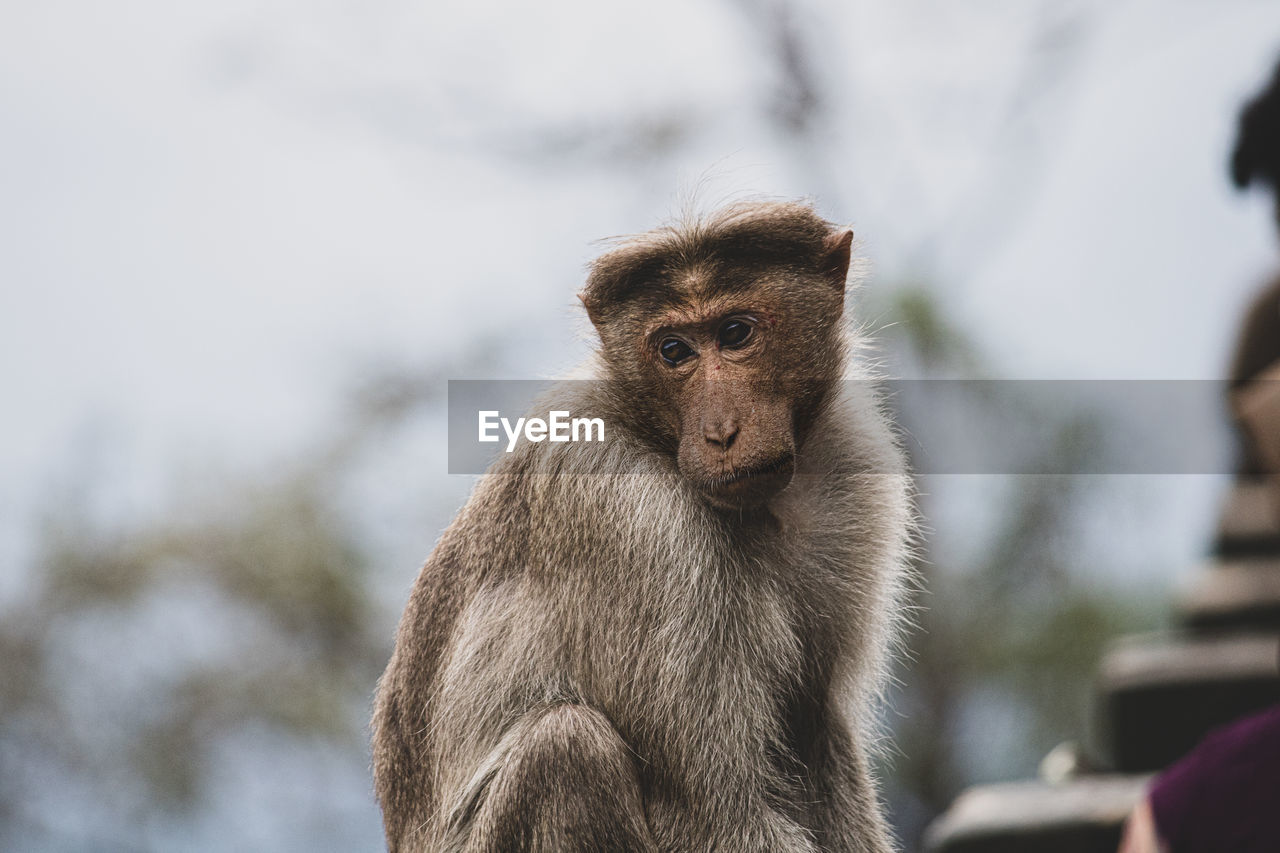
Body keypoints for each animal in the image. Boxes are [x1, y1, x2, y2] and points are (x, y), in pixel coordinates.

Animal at [373, 201, 916, 850]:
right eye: (674, 351)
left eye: (735, 334)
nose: (721, 432)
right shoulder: (635, 520)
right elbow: (716, 811)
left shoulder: (850, 466)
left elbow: (816, 732)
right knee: (567, 749)